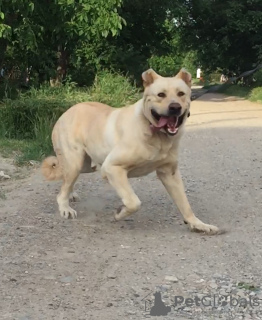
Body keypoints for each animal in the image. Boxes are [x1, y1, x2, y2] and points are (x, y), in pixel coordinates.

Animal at [42, 69, 219, 235]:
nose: (175, 107)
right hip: (76, 163)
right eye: (161, 95)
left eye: (181, 94)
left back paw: (70, 194)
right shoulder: (112, 167)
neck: (155, 134)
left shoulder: (170, 174)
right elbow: (133, 202)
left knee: (66, 181)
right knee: (62, 189)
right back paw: (65, 206)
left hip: (86, 165)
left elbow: (185, 204)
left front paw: (198, 224)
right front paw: (120, 212)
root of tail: (66, 112)